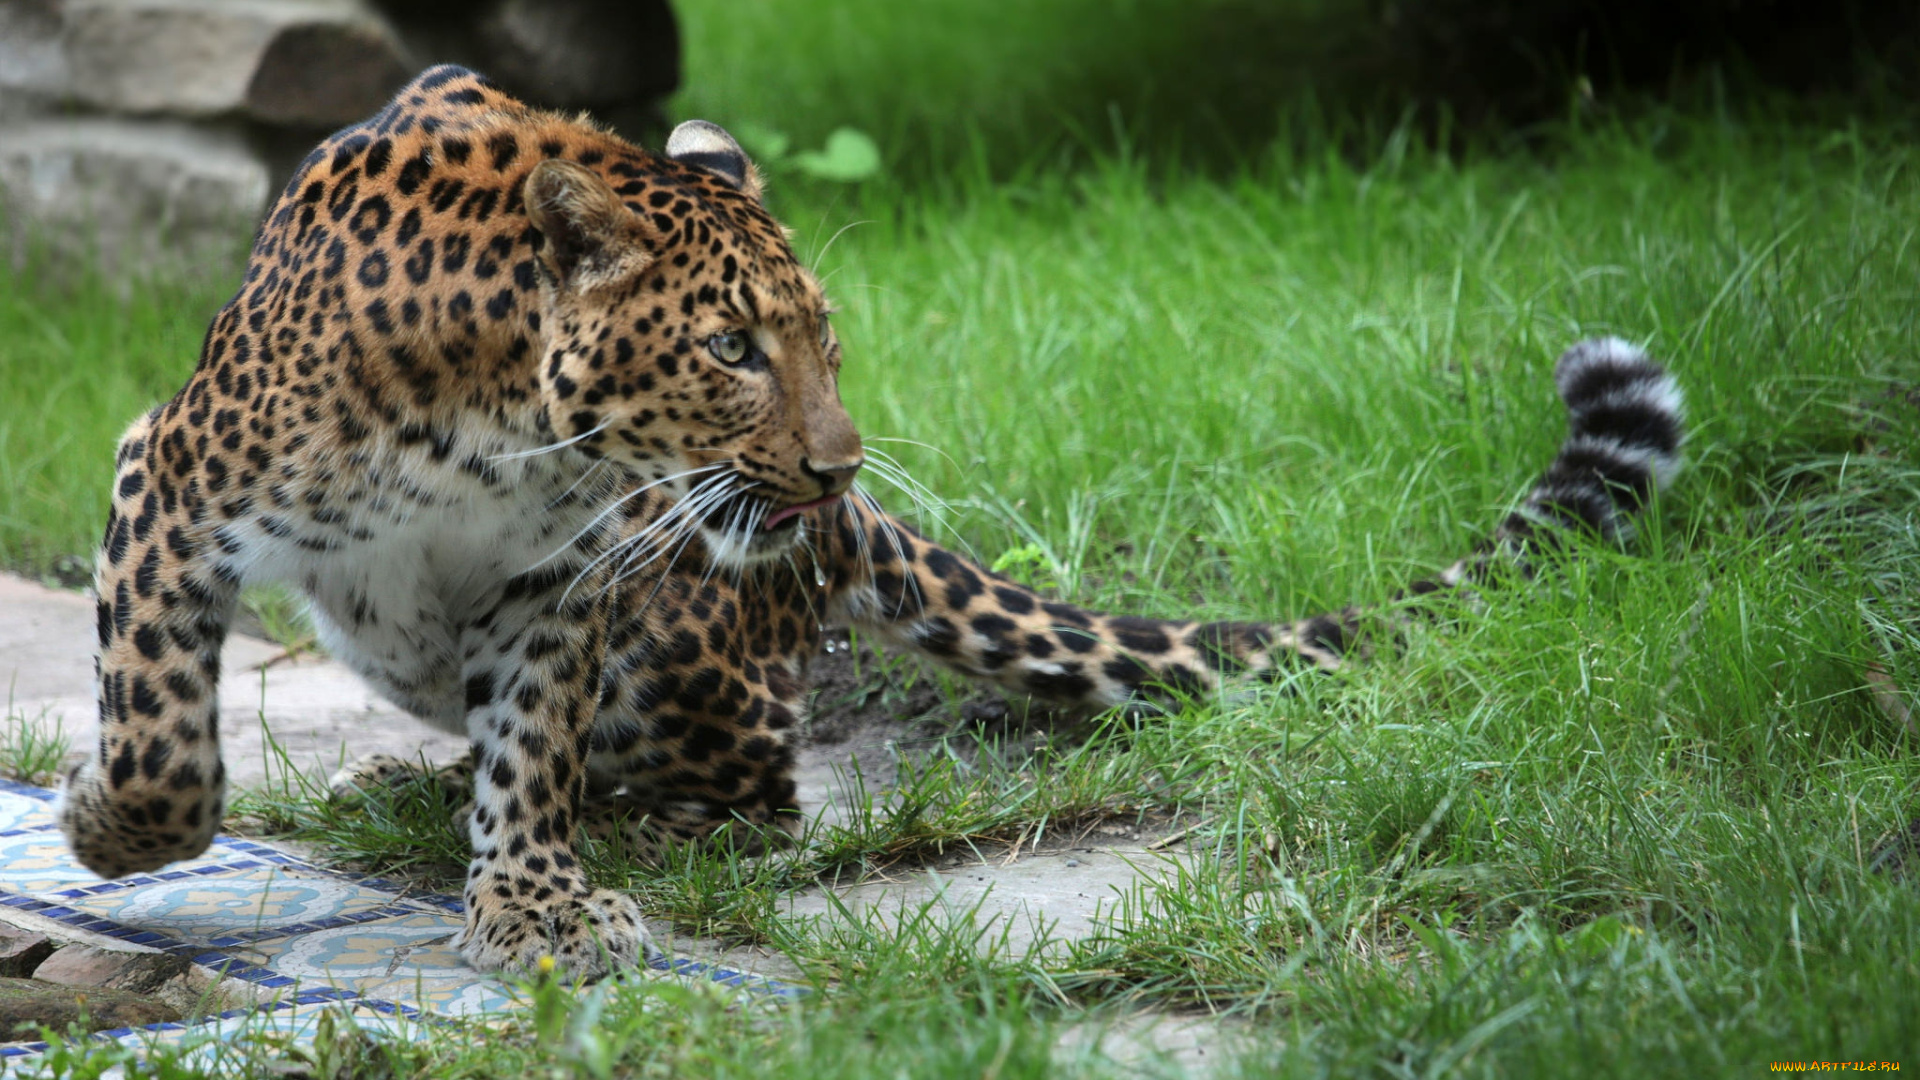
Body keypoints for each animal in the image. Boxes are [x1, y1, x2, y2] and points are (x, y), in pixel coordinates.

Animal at [56, 65, 1685, 979]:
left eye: (823, 339)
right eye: (729, 350)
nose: (837, 466)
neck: (499, 433)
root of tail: (855, 534)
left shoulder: (562, 582)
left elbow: (533, 758)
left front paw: (535, 899)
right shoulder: (169, 476)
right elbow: (162, 736)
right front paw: (104, 824)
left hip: (683, 652)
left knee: (753, 790)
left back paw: (548, 816)